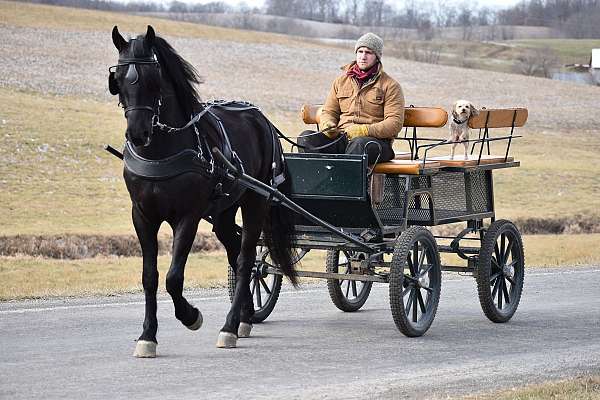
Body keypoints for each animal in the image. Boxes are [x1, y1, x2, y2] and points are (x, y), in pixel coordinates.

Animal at [109, 25, 298, 356]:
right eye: (118, 80)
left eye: (153, 79)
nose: (138, 133)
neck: (160, 152)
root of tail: (261, 119)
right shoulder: (142, 216)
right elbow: (150, 277)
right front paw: (147, 336)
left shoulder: (188, 216)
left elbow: (173, 278)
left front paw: (190, 315)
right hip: (224, 211)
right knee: (236, 252)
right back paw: (245, 316)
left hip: (255, 201)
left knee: (247, 259)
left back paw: (230, 327)